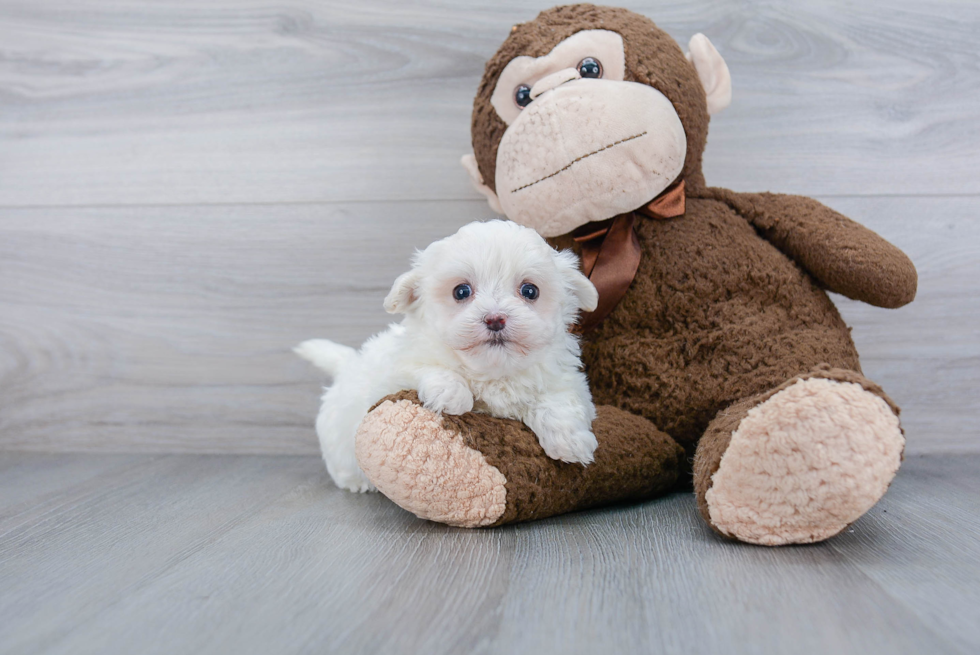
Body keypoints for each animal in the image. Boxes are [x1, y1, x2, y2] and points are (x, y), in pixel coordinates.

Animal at [292, 220, 596, 492]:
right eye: (461, 291)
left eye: (529, 291)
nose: (495, 319)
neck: (492, 371)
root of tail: (348, 363)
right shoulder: (399, 366)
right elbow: (427, 367)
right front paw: (452, 393)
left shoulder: (565, 380)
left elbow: (560, 401)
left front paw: (571, 440)